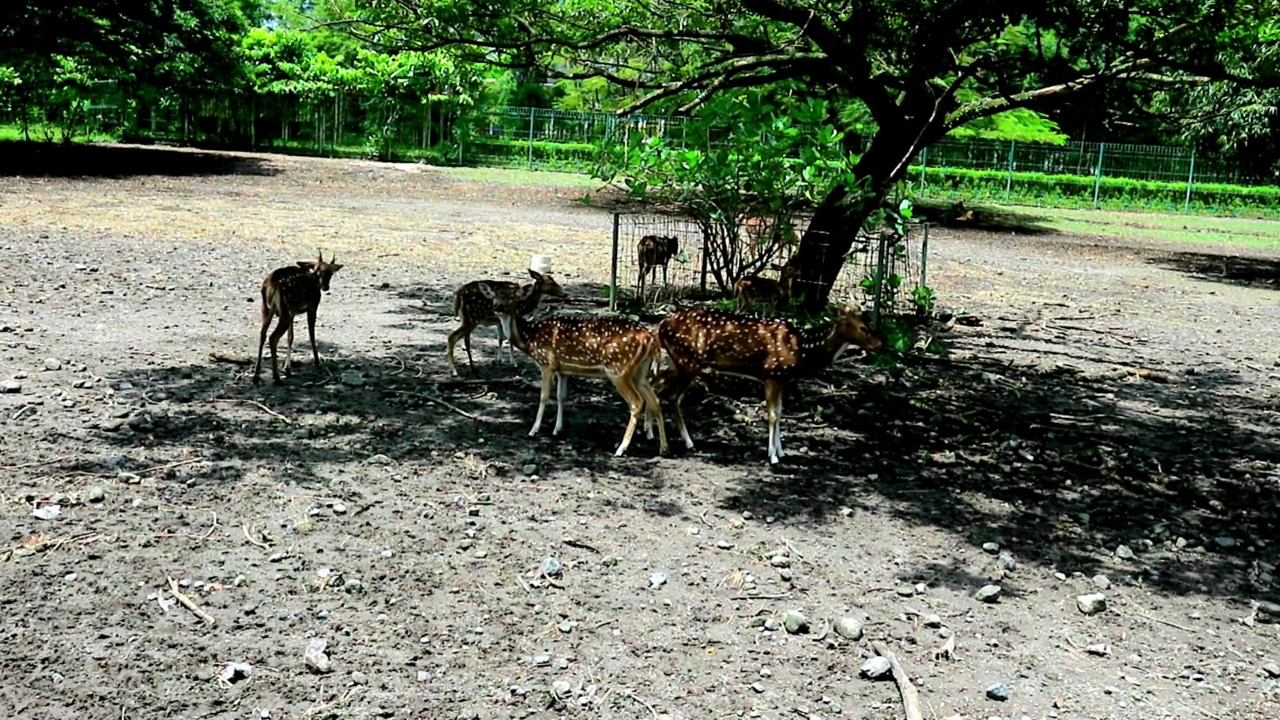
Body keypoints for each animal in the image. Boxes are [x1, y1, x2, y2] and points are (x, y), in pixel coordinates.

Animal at [253, 249, 345, 384]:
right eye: (318, 271)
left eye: (331, 273)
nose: (325, 287)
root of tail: (271, 284)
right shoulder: (312, 306)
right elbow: (312, 335)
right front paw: (317, 362)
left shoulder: (293, 313)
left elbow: (290, 337)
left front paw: (287, 368)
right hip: (285, 308)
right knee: (273, 337)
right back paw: (276, 377)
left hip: (267, 308)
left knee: (262, 334)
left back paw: (256, 376)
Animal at [476, 280, 665, 453]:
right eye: (493, 296)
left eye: (512, 296)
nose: (497, 307)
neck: (530, 338)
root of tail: (650, 339)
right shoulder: (563, 369)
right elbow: (562, 396)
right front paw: (557, 429)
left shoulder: (547, 363)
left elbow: (544, 396)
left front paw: (533, 430)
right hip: (640, 372)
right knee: (655, 400)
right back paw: (663, 447)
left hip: (618, 369)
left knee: (637, 403)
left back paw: (621, 448)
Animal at [655, 301, 885, 458]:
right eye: (863, 327)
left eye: (869, 323)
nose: (880, 344)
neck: (801, 349)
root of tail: (661, 326)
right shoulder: (771, 375)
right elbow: (773, 415)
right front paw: (772, 456)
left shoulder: (782, 380)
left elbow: (780, 413)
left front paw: (781, 452)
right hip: (688, 361)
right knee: (672, 395)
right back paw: (687, 442)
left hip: (677, 362)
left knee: (657, 388)